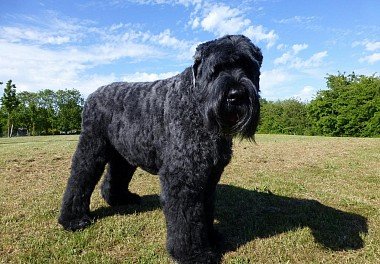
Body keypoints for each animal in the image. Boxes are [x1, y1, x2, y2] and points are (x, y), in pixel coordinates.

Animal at [59, 35, 262, 264]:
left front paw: (211, 237)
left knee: (115, 175)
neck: (196, 104)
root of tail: (91, 96)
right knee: (79, 178)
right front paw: (193, 253)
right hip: (92, 148)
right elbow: (186, 219)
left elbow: (205, 210)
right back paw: (73, 219)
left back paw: (119, 199)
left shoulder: (209, 175)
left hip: (124, 155)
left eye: (249, 66)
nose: (236, 95)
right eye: (216, 69)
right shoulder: (182, 177)